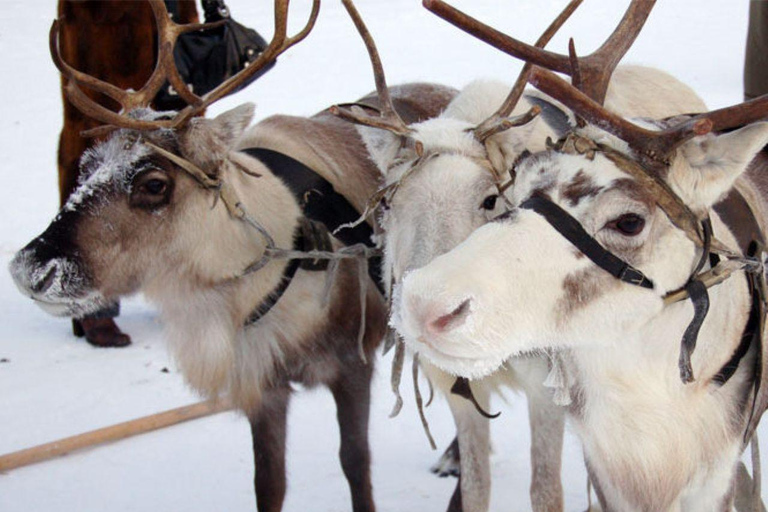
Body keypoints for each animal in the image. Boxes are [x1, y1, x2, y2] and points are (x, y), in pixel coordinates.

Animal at [7, 1, 459, 511]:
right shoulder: (261, 383)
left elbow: (356, 463)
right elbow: (269, 482)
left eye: (154, 183)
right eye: (85, 167)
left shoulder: (352, 361)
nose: (32, 268)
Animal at [332, 1, 713, 510]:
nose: (422, 315)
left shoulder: (551, 386)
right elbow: (475, 488)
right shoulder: (458, 392)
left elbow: (545, 490)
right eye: (388, 205)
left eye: (491, 199)